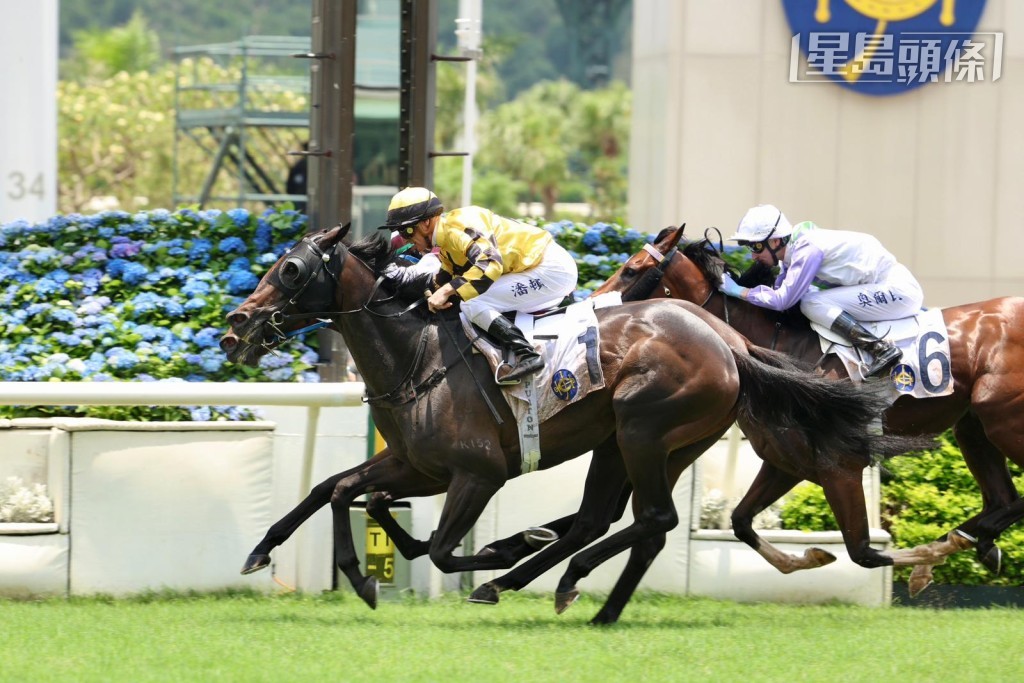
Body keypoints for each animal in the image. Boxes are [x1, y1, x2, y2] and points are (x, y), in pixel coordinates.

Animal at [220, 222, 901, 623]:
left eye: (291, 270)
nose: (236, 325)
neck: (417, 355)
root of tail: (727, 339)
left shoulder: (477, 473)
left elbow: (440, 549)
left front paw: (501, 551)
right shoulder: (417, 464)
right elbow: (335, 489)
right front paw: (292, 559)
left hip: (643, 430)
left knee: (650, 518)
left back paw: (534, 577)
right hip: (637, 443)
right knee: (616, 520)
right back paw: (576, 593)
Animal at [593, 223, 1024, 593]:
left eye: (631, 271)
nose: (594, 306)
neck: (784, 353)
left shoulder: (841, 466)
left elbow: (864, 553)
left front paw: (928, 559)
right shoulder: (786, 463)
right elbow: (741, 522)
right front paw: (814, 556)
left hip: (1004, 423)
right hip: (974, 429)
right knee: (1003, 499)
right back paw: (979, 543)